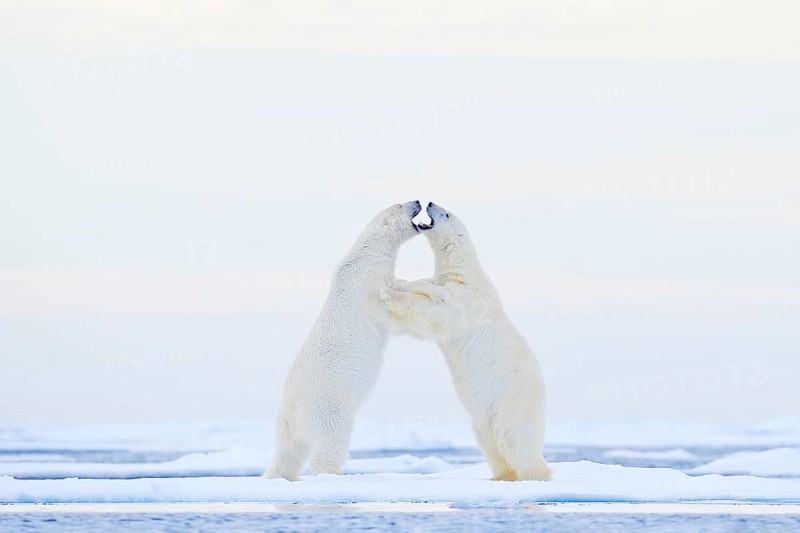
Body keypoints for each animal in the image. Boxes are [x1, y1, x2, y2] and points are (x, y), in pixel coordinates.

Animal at [265, 200, 422, 481]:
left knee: (288, 452)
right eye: (400, 204)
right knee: (331, 441)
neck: (366, 252)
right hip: (329, 405)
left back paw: (280, 476)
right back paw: (329, 474)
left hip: (287, 424)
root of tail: (292, 410)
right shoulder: (370, 280)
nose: (417, 200)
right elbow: (390, 303)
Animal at [380, 202, 552, 481]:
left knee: (513, 437)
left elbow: (441, 313)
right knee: (489, 441)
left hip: (513, 396)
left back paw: (534, 474)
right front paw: (401, 285)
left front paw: (394, 296)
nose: (429, 203)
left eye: (446, 213)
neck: (465, 272)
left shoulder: (467, 298)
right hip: (485, 413)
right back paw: (500, 475)